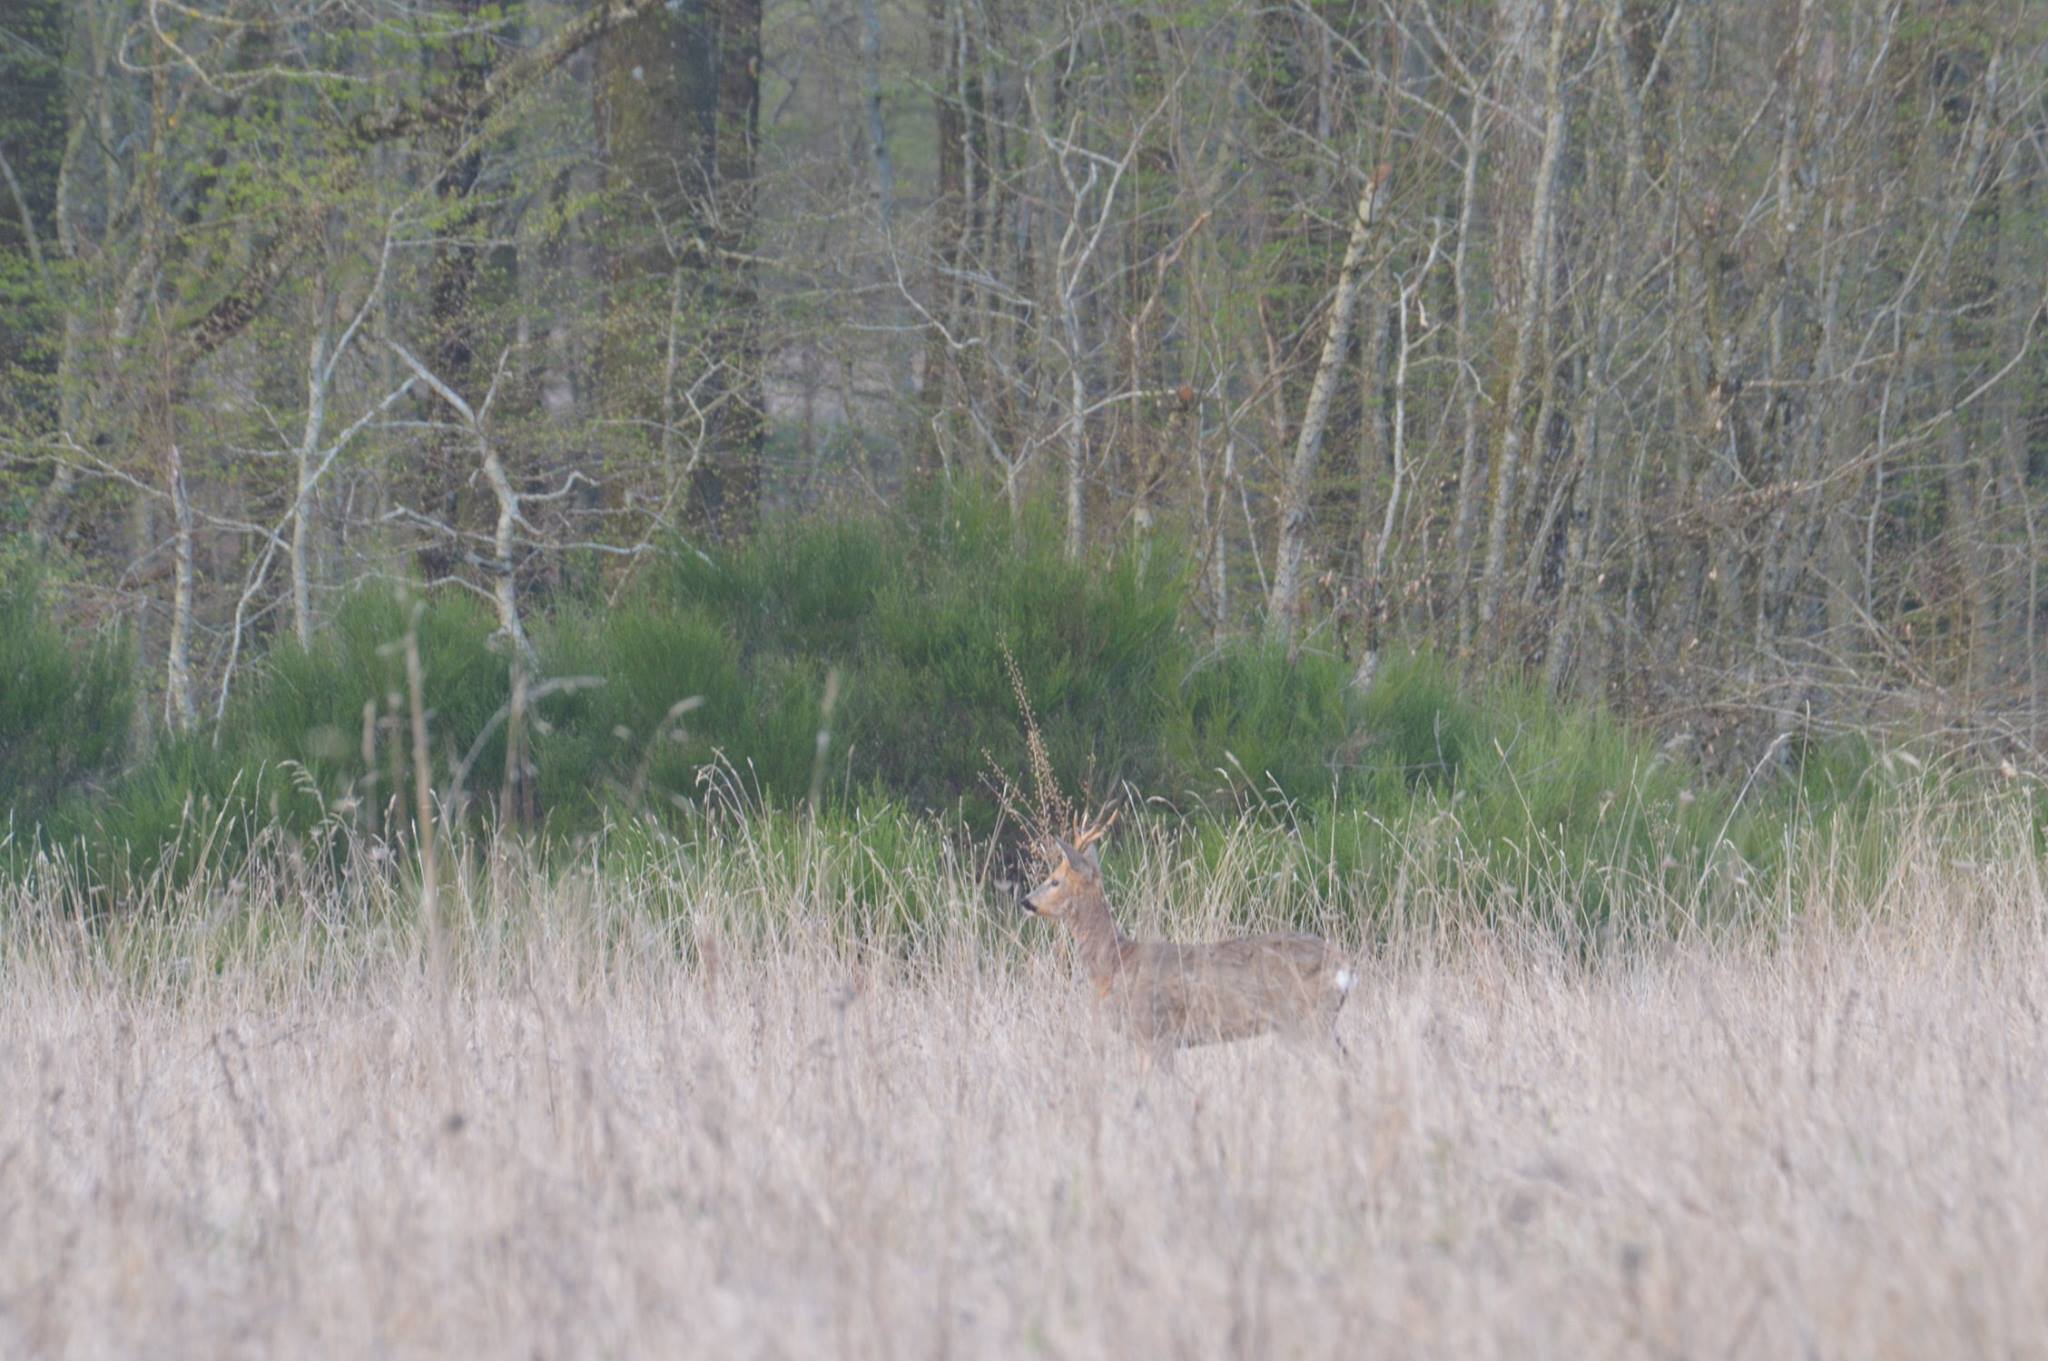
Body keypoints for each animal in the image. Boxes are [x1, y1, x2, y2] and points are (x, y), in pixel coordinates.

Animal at [1024, 810, 1359, 1064]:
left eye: (1054, 880)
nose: (1026, 901)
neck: (1115, 962)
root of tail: (1346, 967)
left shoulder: (1153, 1031)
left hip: (1306, 1020)